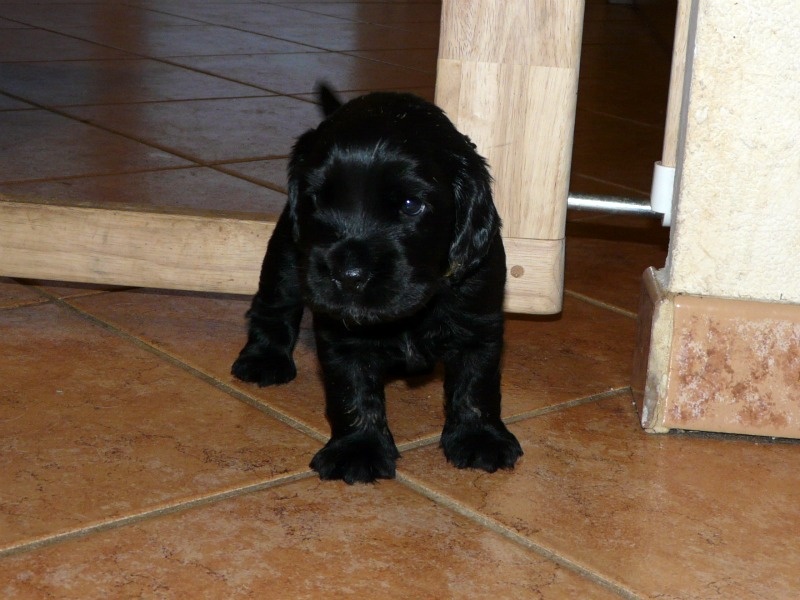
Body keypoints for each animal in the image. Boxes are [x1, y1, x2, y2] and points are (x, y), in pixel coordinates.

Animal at [232, 85, 522, 484]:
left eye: (411, 204)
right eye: (316, 199)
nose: (349, 275)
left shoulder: (478, 320)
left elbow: (476, 384)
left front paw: (481, 438)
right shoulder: (343, 336)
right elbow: (352, 390)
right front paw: (359, 449)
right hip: (287, 257)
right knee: (273, 305)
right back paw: (263, 359)